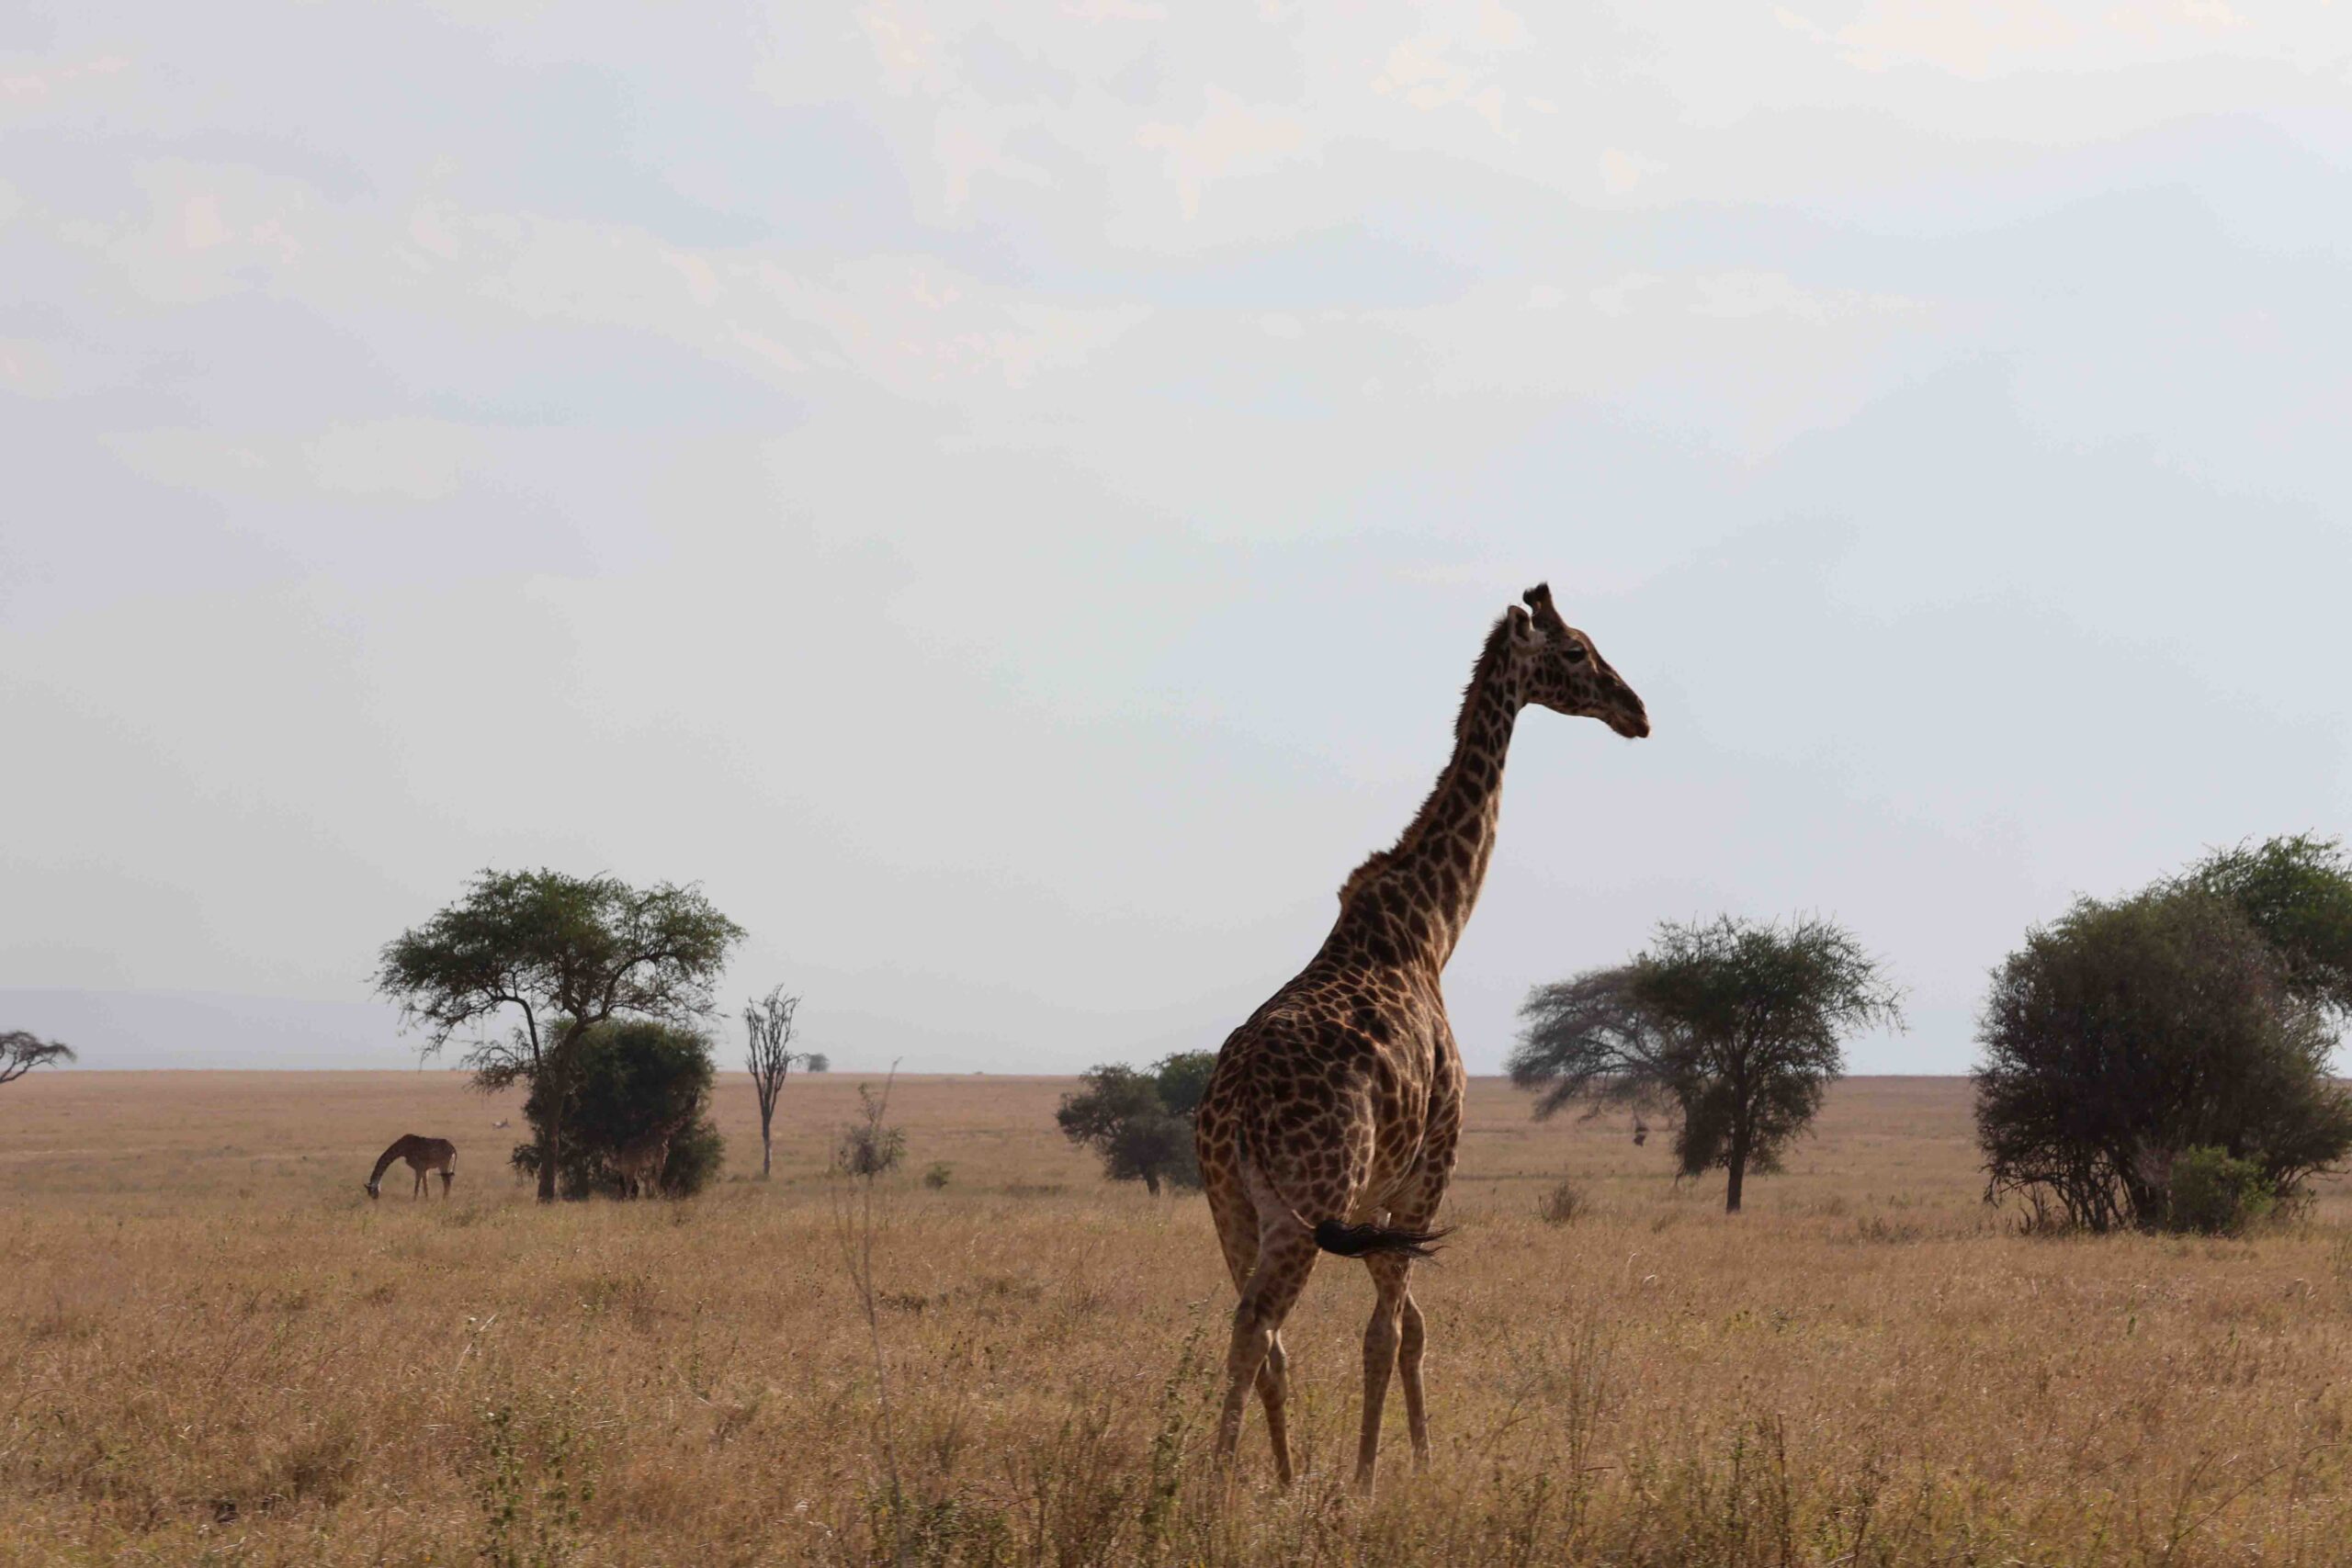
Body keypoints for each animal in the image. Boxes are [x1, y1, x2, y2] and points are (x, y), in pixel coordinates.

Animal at [1193, 583, 1648, 1493]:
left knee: (1265, 1336)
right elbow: (1390, 1331)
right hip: (1304, 1205)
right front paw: (1370, 1479)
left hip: (1230, 1204)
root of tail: (1234, 1107)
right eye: (1577, 652)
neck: (1434, 926)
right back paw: (1218, 1486)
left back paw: (1281, 1480)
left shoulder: (1378, 1201)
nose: (1637, 711)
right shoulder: (1429, 1167)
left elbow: (1415, 1326)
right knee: (1258, 1324)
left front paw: (1415, 1461)